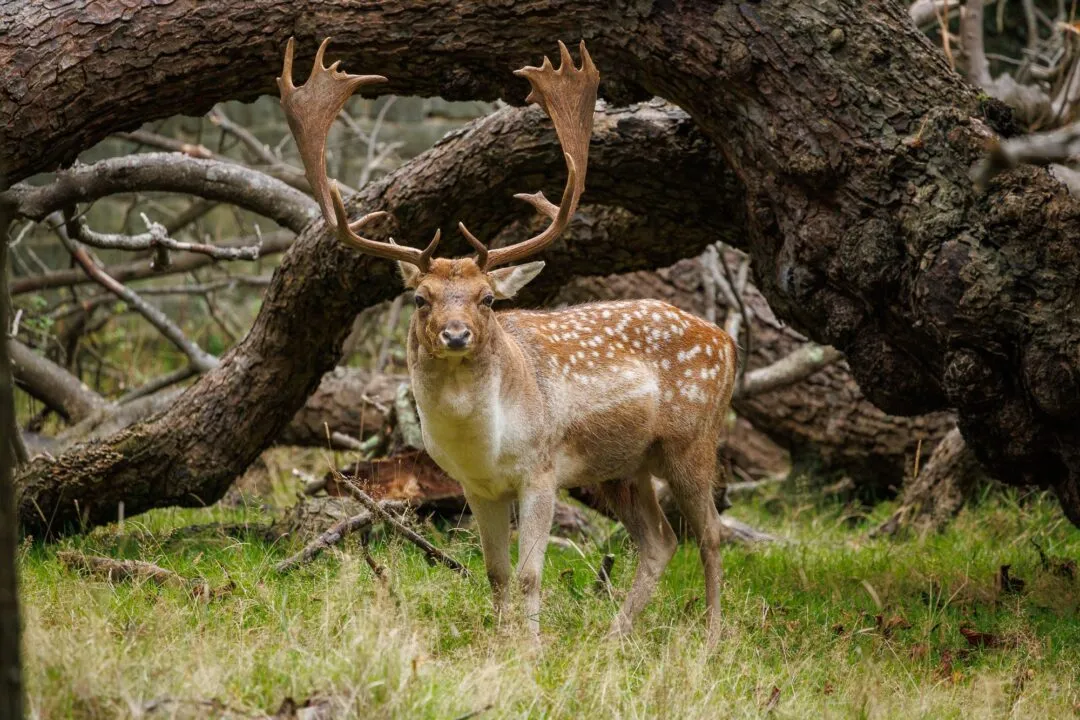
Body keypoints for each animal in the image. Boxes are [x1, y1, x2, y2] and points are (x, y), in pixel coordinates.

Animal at [278, 37, 738, 641]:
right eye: (420, 297)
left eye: (488, 299)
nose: (455, 334)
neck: (487, 444)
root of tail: (728, 342)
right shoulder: (476, 487)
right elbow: (495, 573)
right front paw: (500, 644)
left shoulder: (541, 470)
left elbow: (528, 575)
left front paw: (533, 649)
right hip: (623, 466)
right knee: (660, 541)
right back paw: (613, 638)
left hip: (693, 439)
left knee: (709, 535)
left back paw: (709, 641)